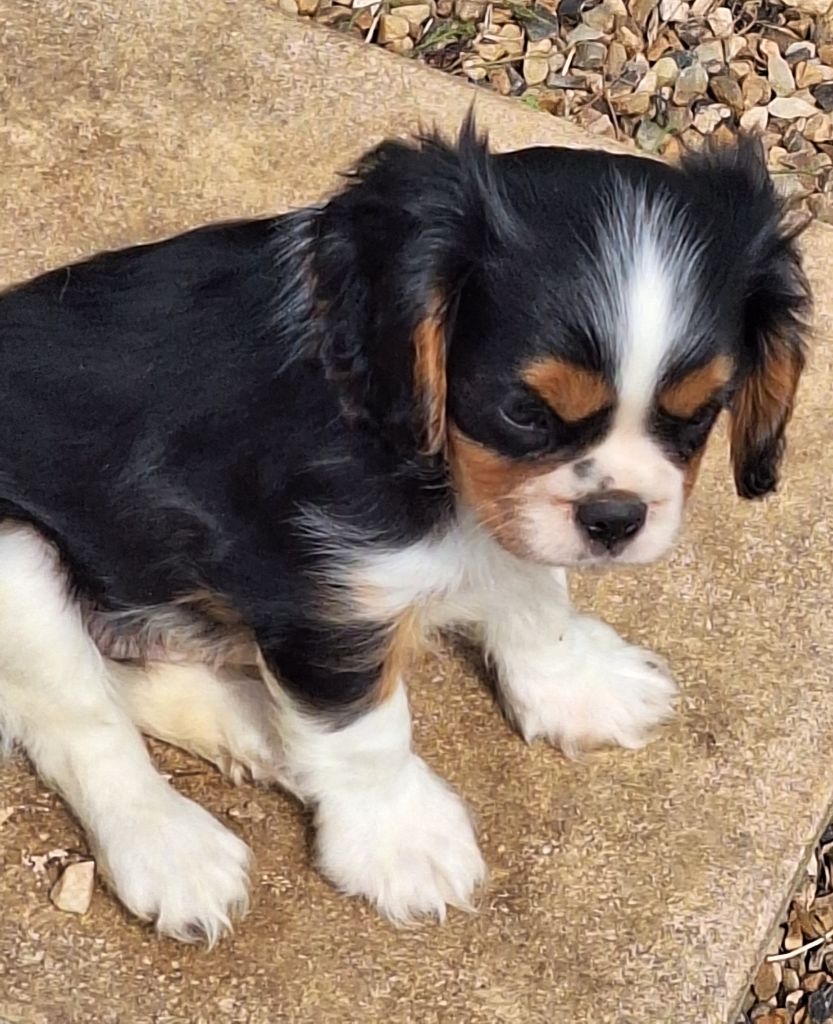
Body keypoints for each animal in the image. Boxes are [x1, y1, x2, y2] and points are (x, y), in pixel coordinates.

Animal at [0, 120, 808, 942]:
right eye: (523, 411)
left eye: (698, 414)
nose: (615, 518)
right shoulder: (320, 598)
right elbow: (366, 732)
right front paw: (400, 841)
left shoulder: (507, 512)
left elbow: (535, 596)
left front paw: (575, 686)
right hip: (19, 563)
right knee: (74, 718)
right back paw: (171, 845)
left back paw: (254, 724)